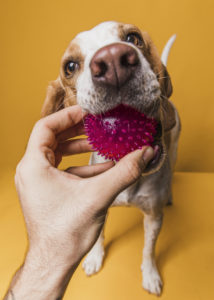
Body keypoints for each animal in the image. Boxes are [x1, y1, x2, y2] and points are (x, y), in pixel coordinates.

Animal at [41, 21, 181, 296]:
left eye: (133, 38)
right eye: (70, 66)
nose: (113, 60)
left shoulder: (154, 217)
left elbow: (148, 249)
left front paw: (150, 274)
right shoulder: (99, 209)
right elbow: (99, 236)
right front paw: (95, 257)